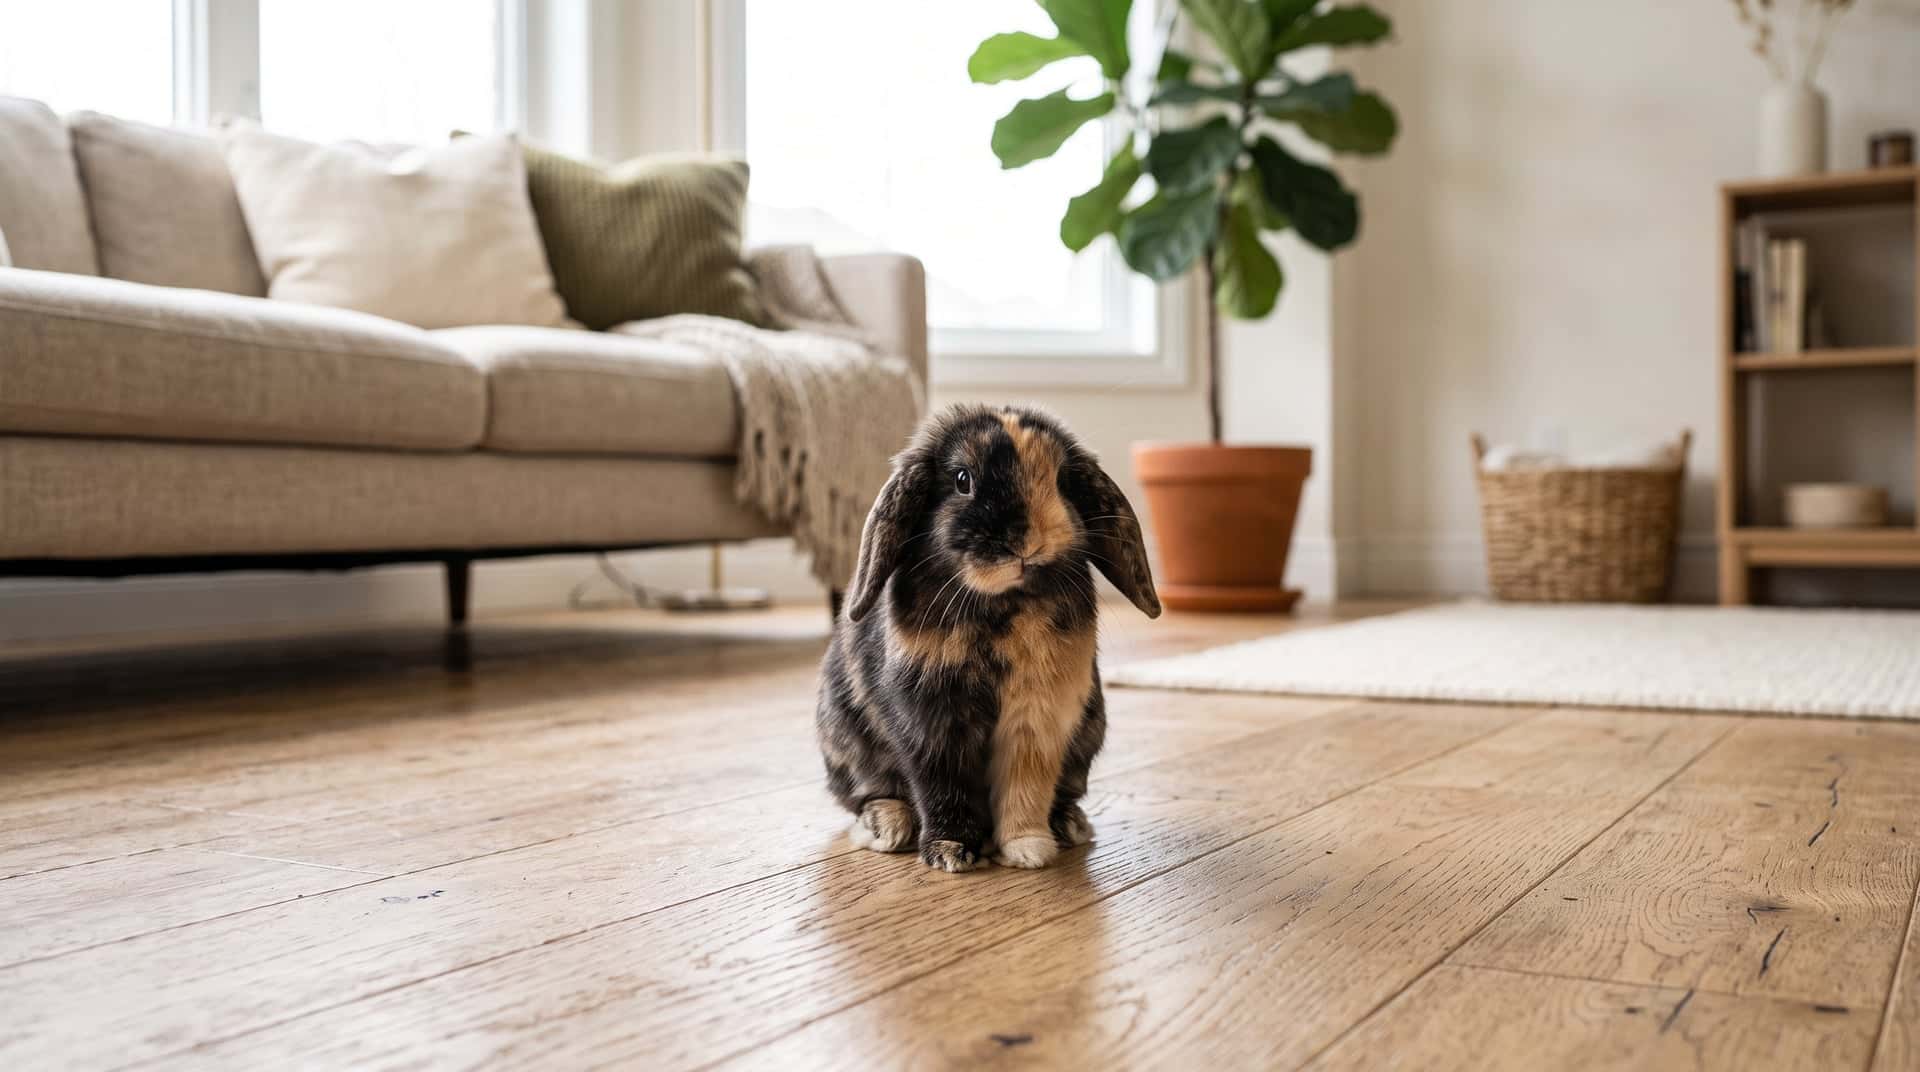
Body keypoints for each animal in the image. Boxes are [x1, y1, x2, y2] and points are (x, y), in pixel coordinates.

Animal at [815, 403, 1161, 873]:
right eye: (963, 480)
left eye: (1061, 481)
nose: (1029, 545)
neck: (1002, 606)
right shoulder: (934, 721)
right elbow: (942, 785)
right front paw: (950, 853)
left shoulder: (1037, 716)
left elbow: (1026, 786)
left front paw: (1027, 849)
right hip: (848, 745)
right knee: (869, 795)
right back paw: (888, 826)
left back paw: (1068, 825)